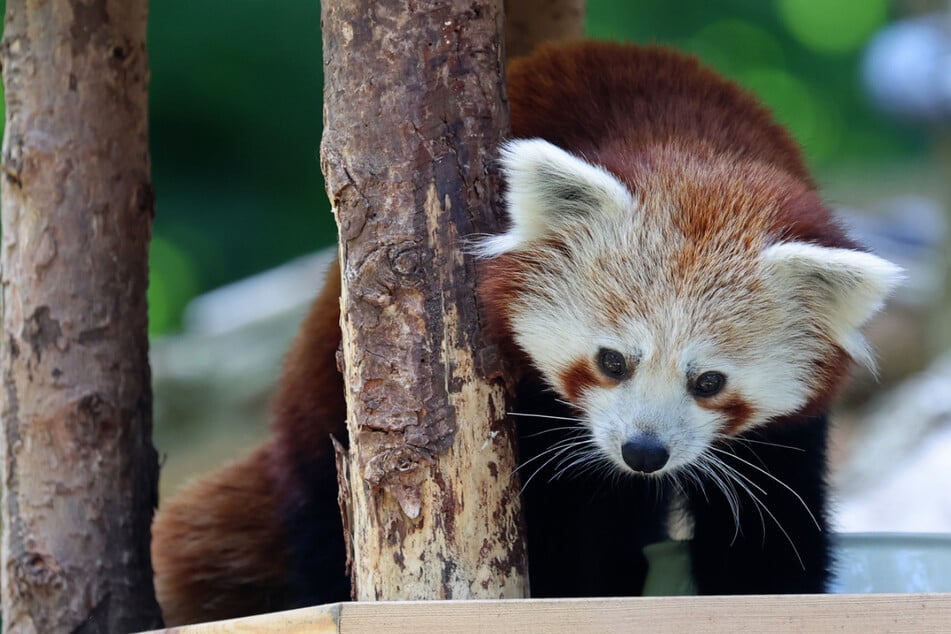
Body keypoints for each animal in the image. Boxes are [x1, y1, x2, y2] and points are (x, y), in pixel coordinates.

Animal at [149, 40, 900, 624]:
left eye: (708, 381)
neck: (695, 150)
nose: (644, 452)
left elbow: (770, 529)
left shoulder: (784, 433)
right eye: (612, 361)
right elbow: (564, 527)